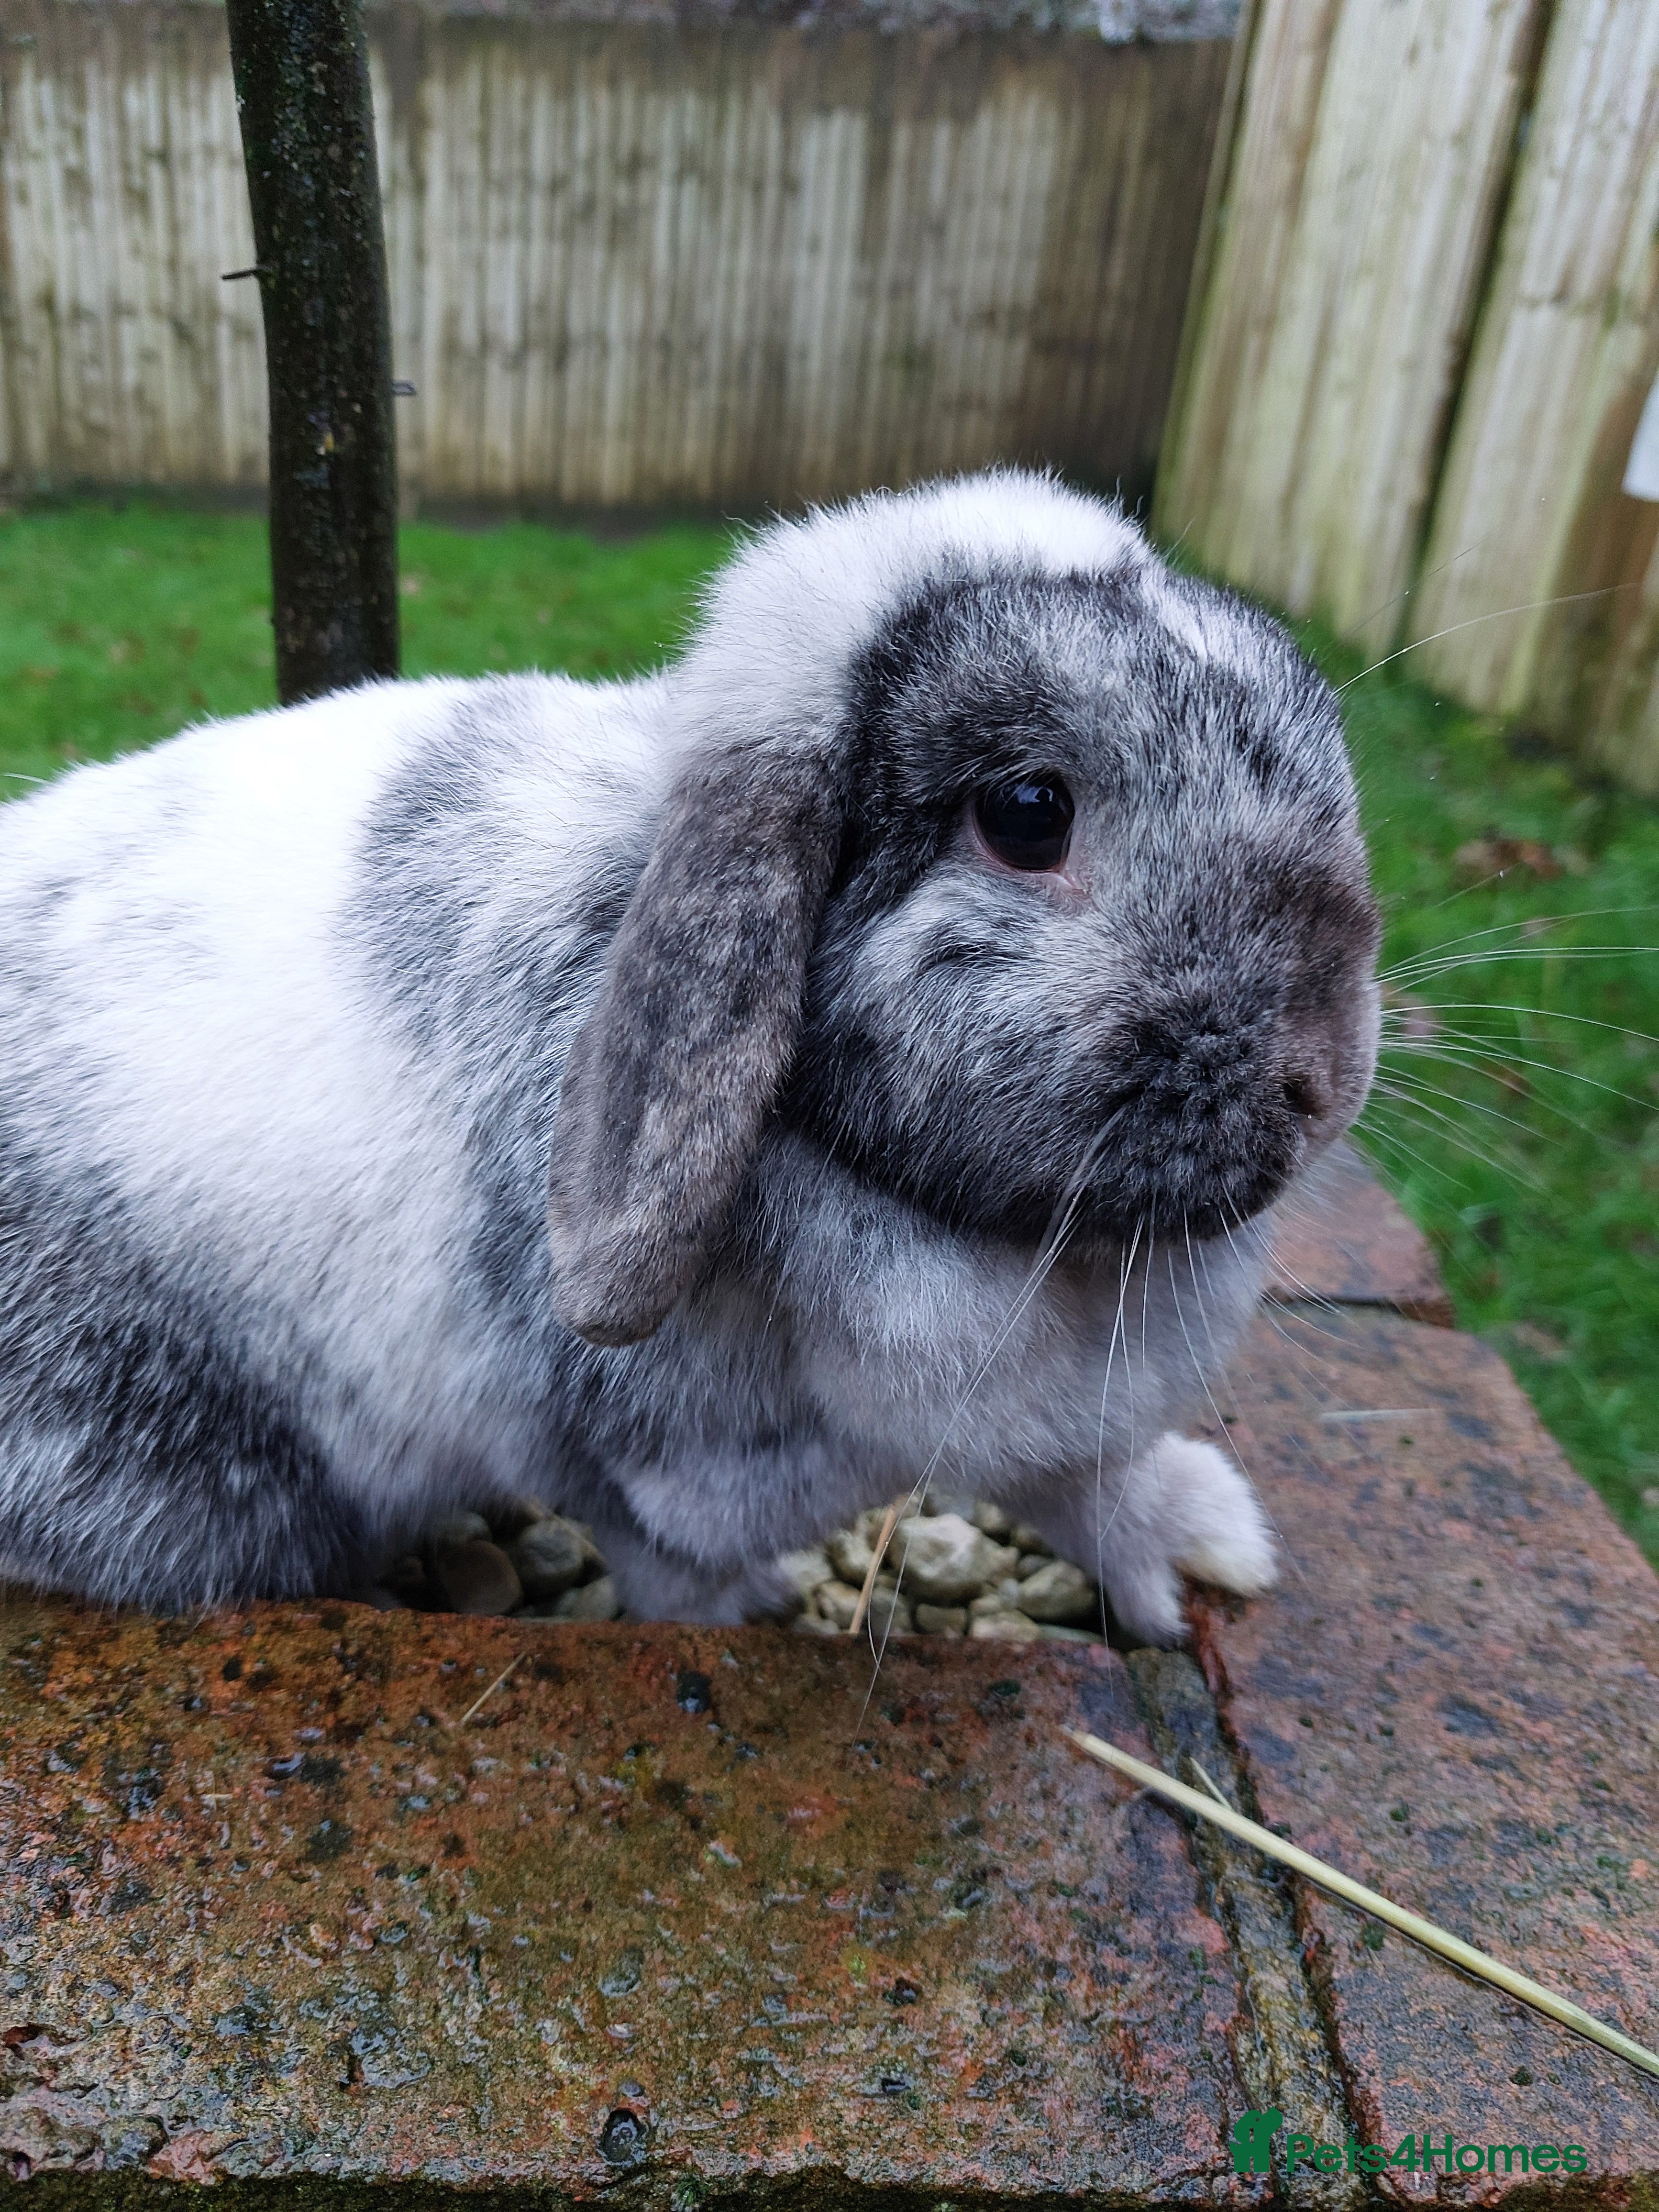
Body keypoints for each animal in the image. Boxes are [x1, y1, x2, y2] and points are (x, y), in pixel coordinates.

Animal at [0, 470, 1380, 1643]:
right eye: (1028, 814)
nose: (1317, 1079)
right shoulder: (624, 1468)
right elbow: (671, 1567)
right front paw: (750, 1622)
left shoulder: (1040, 1432)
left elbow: (1090, 1486)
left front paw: (1210, 1552)